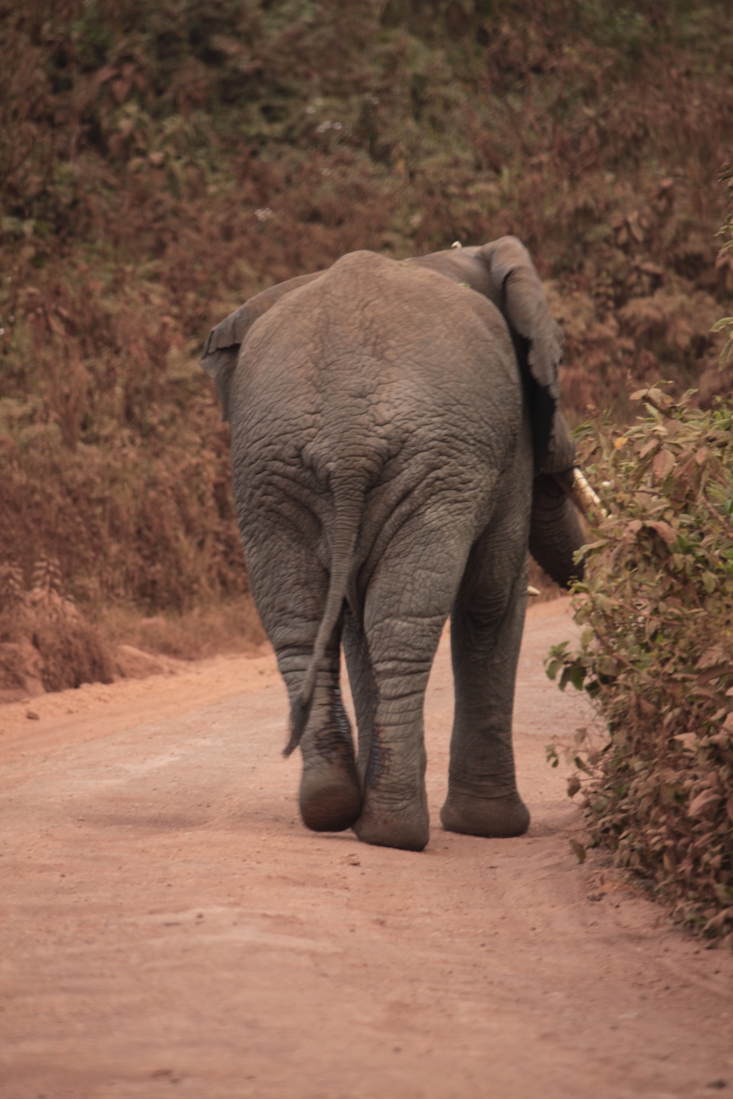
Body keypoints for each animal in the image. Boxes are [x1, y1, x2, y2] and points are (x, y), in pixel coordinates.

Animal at [202, 238, 589, 857]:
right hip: (424, 461)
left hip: (271, 469)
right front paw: (491, 828)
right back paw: (396, 832)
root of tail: (346, 439)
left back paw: (336, 808)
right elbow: (492, 597)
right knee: (404, 617)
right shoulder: (506, 448)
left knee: (305, 620)